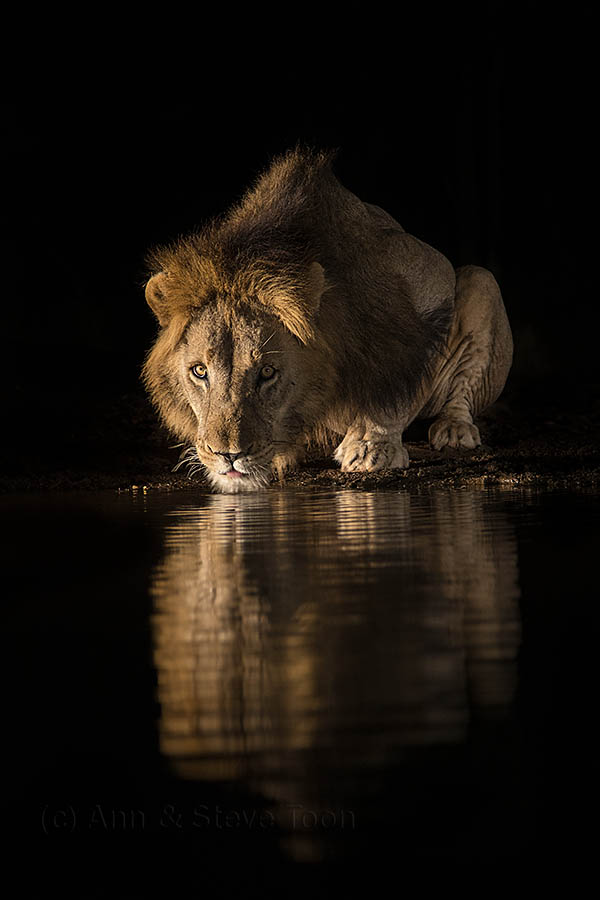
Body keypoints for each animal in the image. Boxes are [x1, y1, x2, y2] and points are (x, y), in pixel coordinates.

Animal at [143, 148, 512, 493]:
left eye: (267, 372)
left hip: (482, 282)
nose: (228, 455)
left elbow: (399, 378)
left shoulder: (430, 282)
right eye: (199, 371)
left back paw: (454, 428)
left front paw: (370, 447)